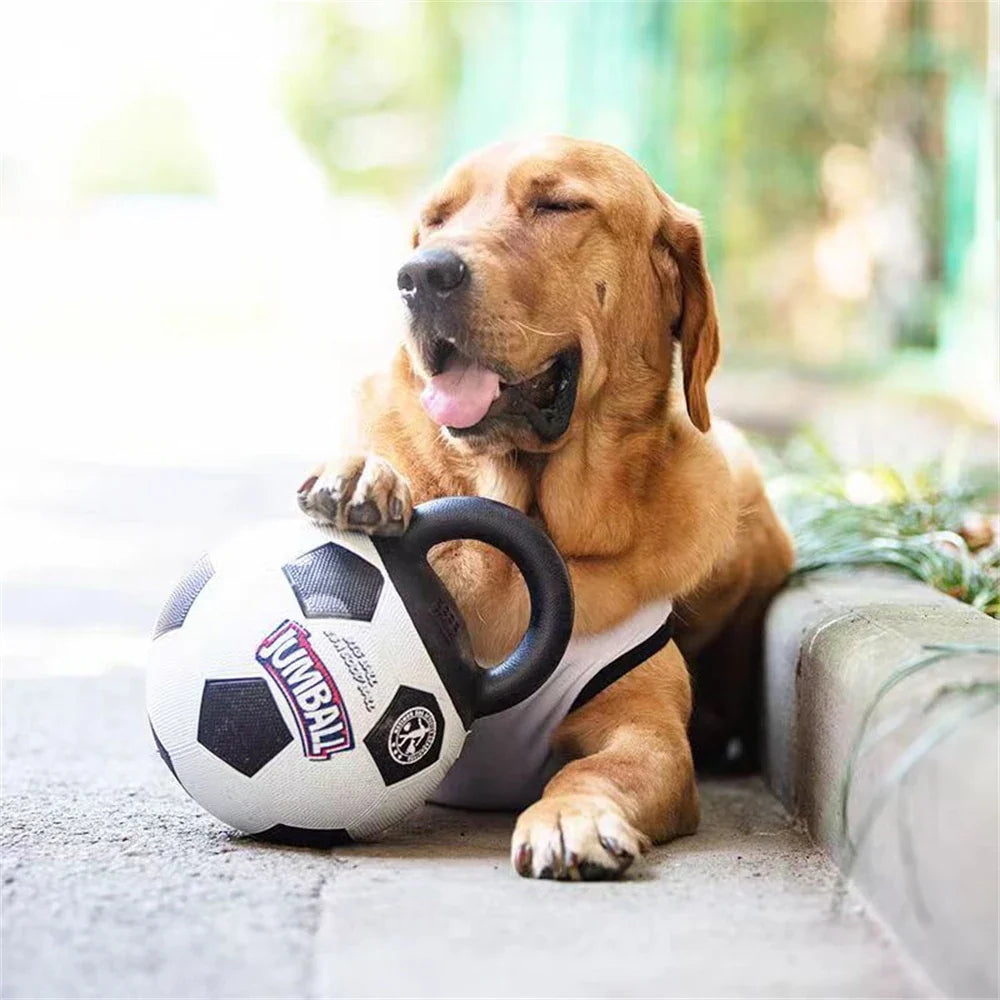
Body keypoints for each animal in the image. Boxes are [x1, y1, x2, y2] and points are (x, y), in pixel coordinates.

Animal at [294, 135, 788, 884]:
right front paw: (359, 477)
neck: (527, 509)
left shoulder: (646, 732)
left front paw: (570, 817)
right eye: (435, 219)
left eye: (558, 204)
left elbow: (591, 770)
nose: (419, 276)